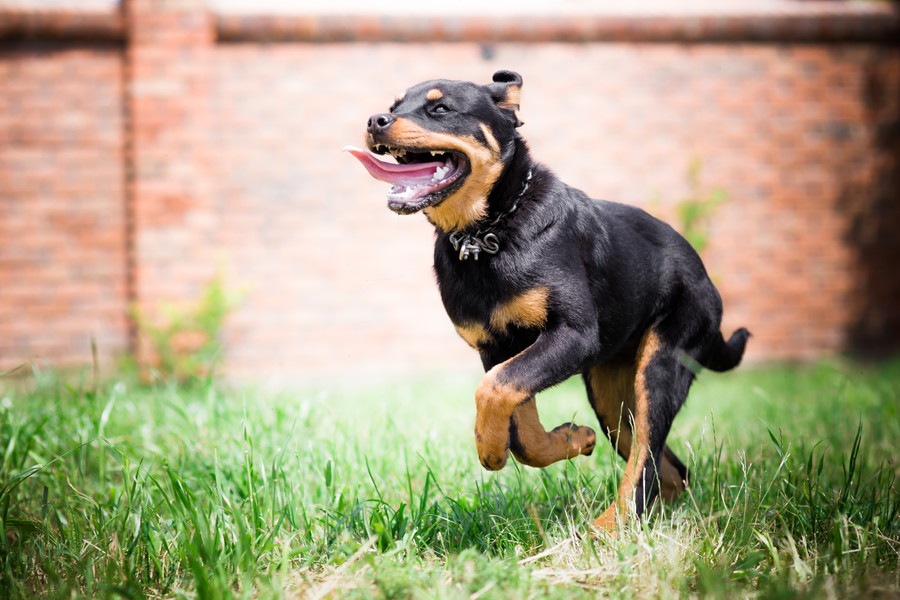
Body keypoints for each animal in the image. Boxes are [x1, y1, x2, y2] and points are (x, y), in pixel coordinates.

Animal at [344, 71, 744, 536]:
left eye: (439, 109)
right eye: (394, 104)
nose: (375, 120)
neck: (488, 232)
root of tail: (705, 276)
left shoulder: (573, 335)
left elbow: (495, 388)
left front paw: (489, 447)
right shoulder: (496, 346)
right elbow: (520, 427)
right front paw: (569, 439)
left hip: (661, 363)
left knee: (646, 456)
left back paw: (610, 526)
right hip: (611, 395)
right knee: (670, 469)